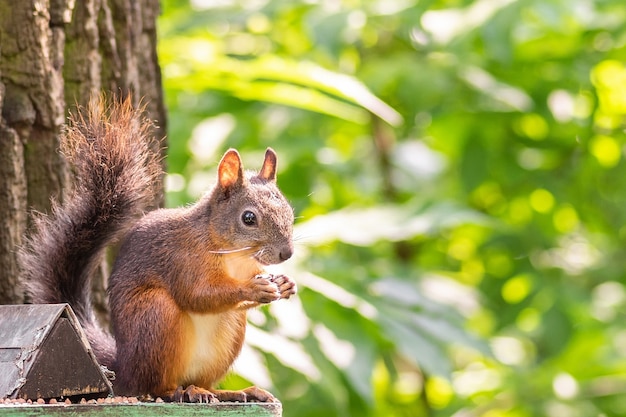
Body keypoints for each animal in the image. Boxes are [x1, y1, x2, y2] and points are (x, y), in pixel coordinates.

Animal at [17, 95, 294, 404]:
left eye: (288, 209)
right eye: (248, 218)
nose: (286, 254)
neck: (234, 255)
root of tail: (124, 369)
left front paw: (284, 284)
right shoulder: (182, 259)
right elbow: (198, 294)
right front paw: (253, 288)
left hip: (229, 332)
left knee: (205, 382)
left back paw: (233, 392)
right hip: (156, 314)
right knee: (155, 386)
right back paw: (182, 391)